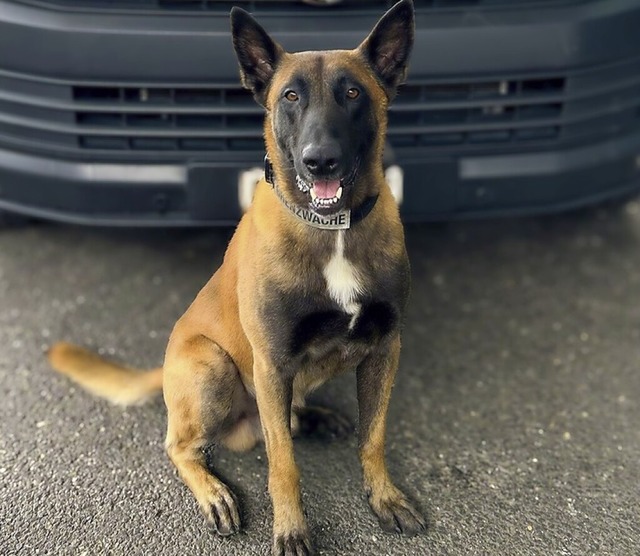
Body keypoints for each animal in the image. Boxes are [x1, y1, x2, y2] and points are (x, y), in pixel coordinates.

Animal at [48, 2, 424, 552]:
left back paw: (311, 416)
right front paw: (290, 528)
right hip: (213, 366)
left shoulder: (384, 347)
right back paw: (214, 492)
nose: (320, 160)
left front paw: (384, 497)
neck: (331, 229)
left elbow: (372, 439)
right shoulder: (270, 361)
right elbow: (283, 464)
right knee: (182, 445)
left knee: (285, 415)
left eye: (353, 93)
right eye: (290, 96)